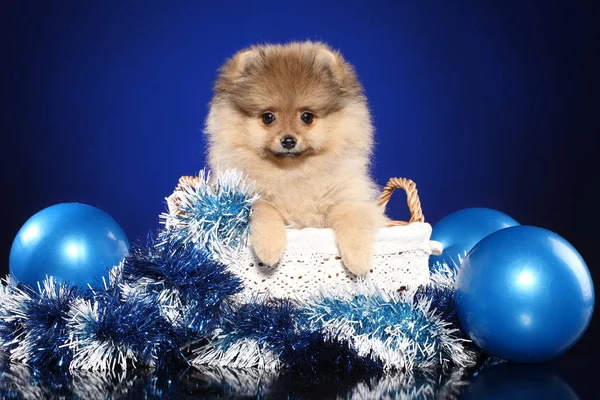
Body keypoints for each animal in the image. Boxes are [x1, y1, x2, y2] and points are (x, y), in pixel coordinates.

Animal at [204, 42, 386, 276]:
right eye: (268, 117)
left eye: (306, 117)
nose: (288, 140)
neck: (292, 173)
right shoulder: (241, 195)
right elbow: (263, 208)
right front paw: (269, 247)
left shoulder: (349, 197)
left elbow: (352, 216)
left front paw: (358, 259)